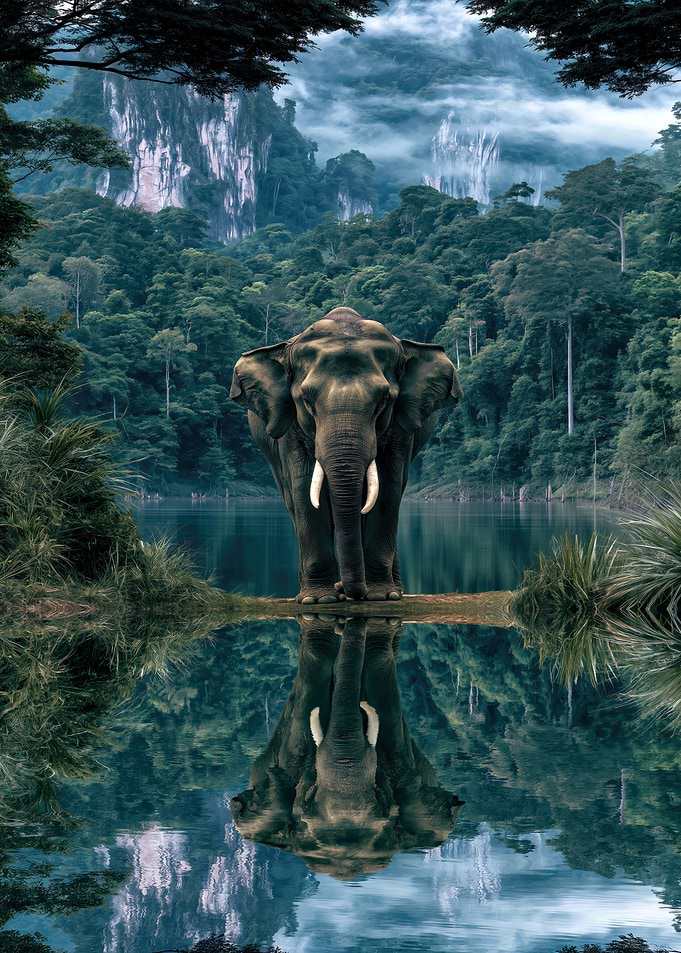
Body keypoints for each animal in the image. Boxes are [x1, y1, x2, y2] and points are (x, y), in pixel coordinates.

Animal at [230, 307, 461, 603]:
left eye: (383, 401)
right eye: (306, 401)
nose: (347, 590)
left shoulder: (402, 425)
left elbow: (388, 488)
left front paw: (381, 596)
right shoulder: (289, 426)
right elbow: (303, 488)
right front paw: (319, 599)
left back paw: (392, 590)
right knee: (293, 500)